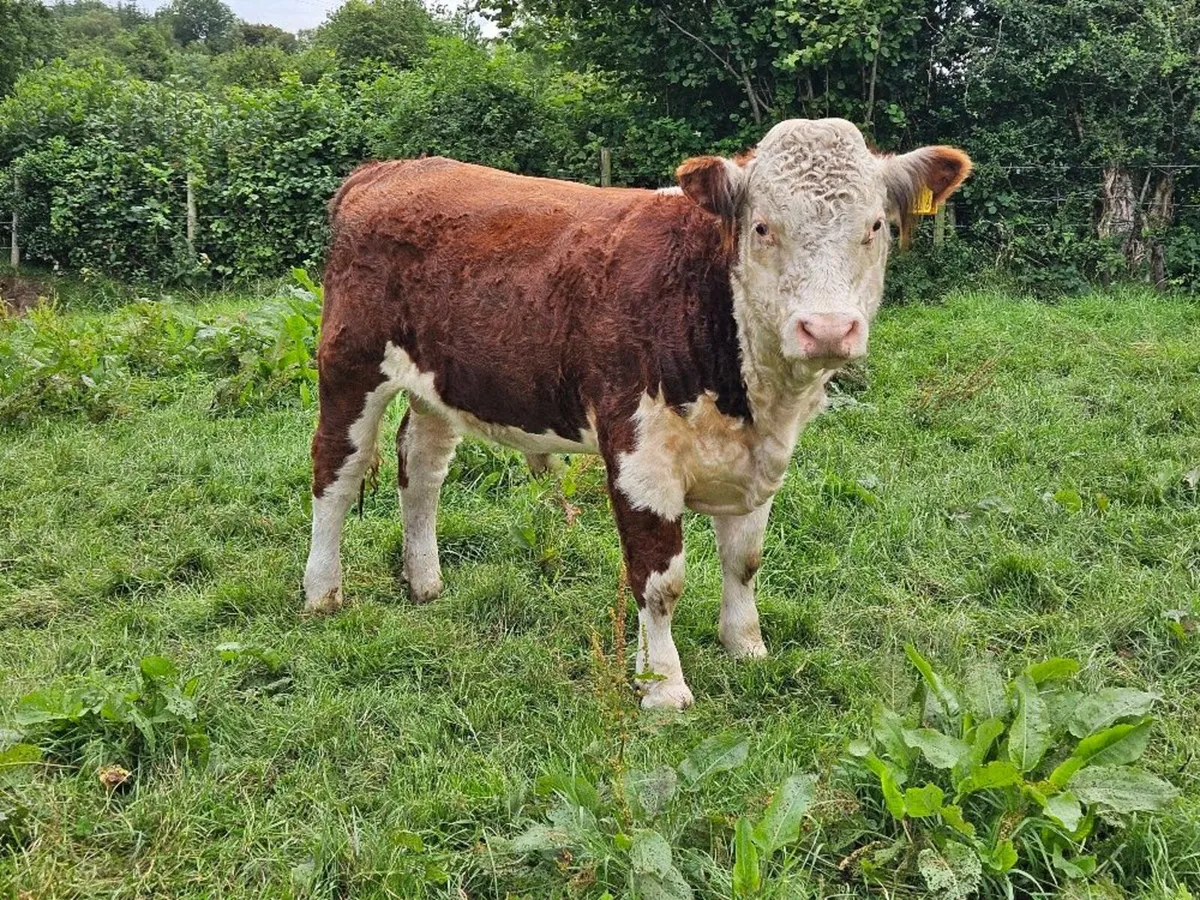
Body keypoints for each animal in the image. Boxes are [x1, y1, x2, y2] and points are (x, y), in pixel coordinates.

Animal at [302, 118, 971, 709]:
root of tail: (388, 169)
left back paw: (425, 583)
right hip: (349, 364)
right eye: (761, 227)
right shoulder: (636, 452)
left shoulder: (758, 461)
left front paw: (746, 647)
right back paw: (322, 591)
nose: (827, 329)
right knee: (336, 472)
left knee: (422, 470)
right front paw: (663, 687)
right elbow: (659, 579)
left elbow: (744, 560)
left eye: (875, 226)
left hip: (439, 382)